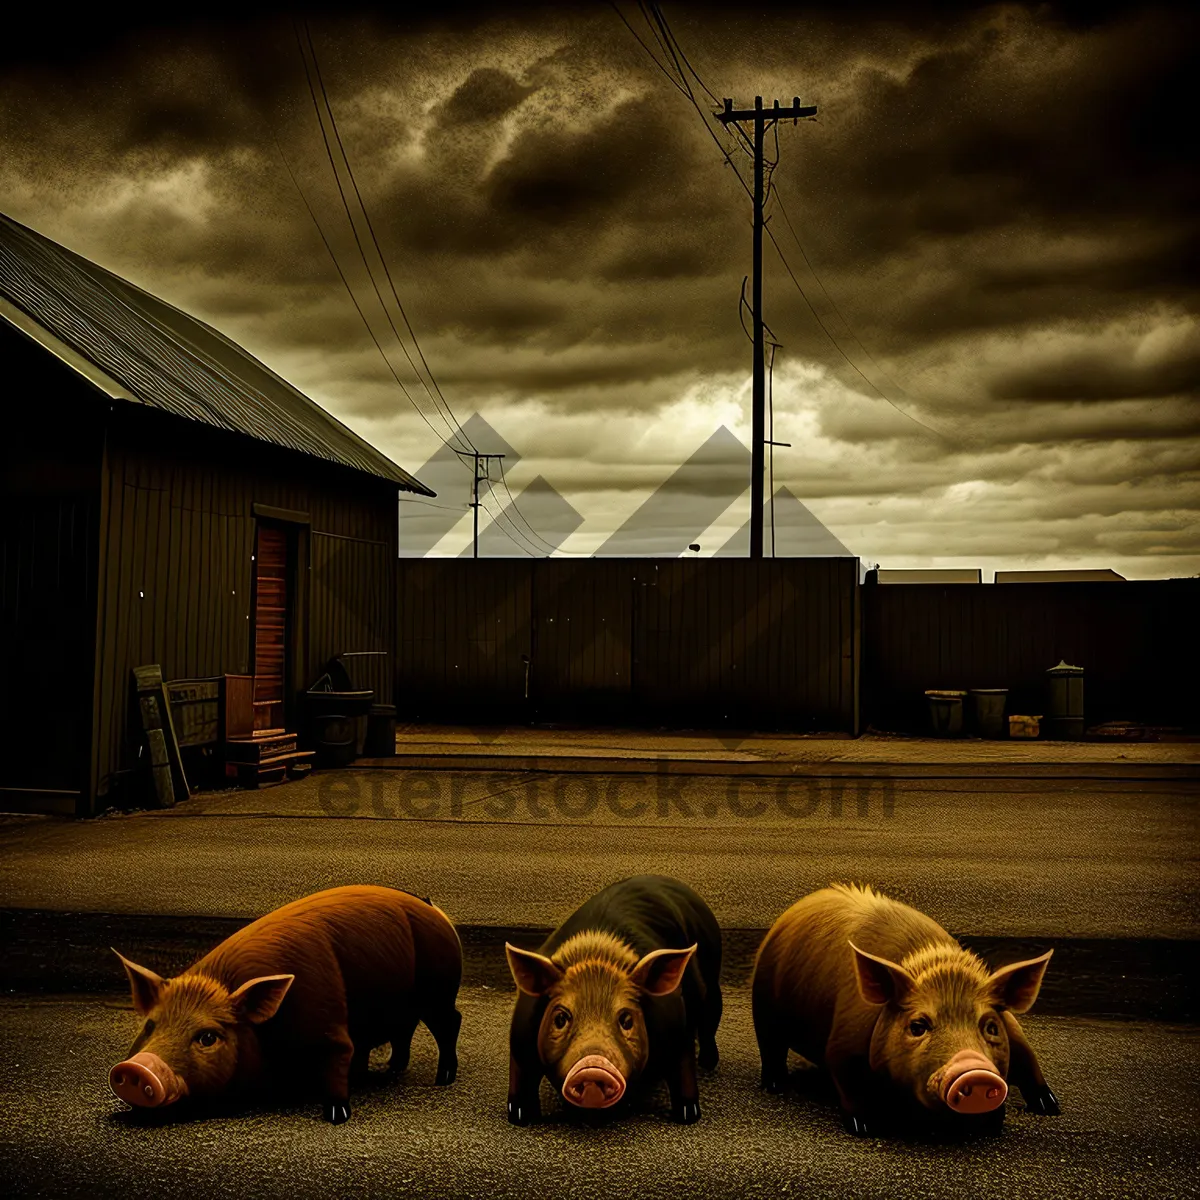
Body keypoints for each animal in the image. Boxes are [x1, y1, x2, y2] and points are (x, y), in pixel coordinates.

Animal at [108, 883, 463, 1123]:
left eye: (208, 1037)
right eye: (150, 1025)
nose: (137, 1068)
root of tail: (435, 910)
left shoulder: (331, 1026)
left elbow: (339, 1060)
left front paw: (336, 1116)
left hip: (440, 992)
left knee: (451, 1022)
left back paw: (442, 1078)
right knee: (405, 1031)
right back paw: (390, 1069)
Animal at [501, 873, 715, 1123]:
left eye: (627, 1020)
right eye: (561, 1018)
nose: (593, 1067)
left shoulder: (678, 1030)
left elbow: (683, 1072)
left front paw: (689, 1116)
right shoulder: (520, 1037)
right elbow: (521, 1078)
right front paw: (519, 1118)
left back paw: (708, 1064)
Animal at [748, 883, 1060, 1132]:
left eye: (991, 1027)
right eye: (918, 1026)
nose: (975, 1070)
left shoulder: (1012, 1032)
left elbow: (1028, 1062)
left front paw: (1042, 1110)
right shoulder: (842, 1044)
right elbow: (848, 1085)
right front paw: (865, 1128)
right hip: (763, 1007)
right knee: (771, 1048)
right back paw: (776, 1086)